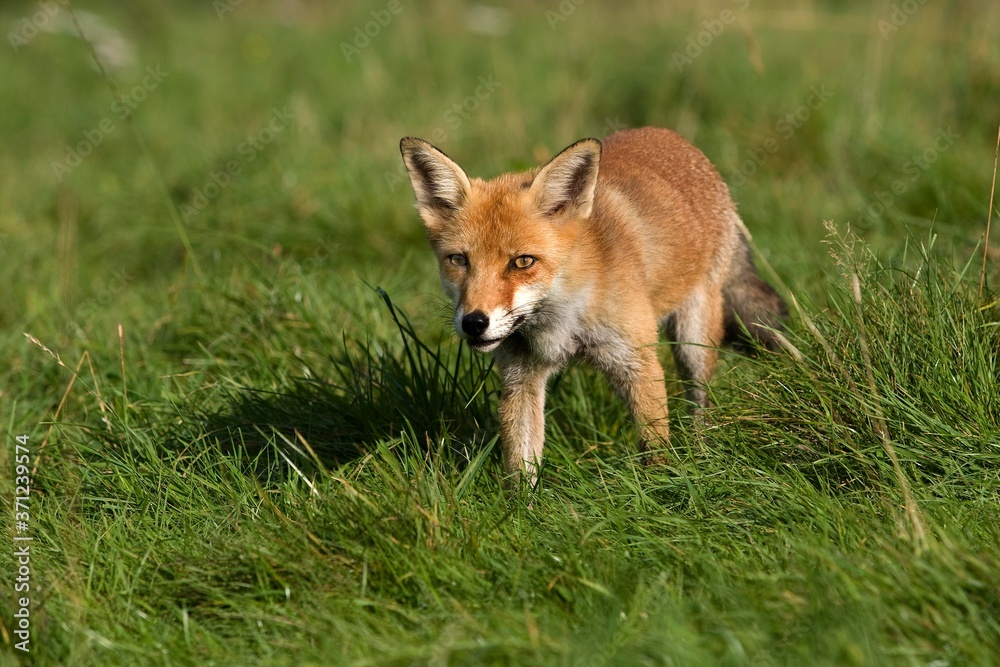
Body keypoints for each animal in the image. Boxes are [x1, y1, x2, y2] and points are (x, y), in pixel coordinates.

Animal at [400, 127, 788, 484]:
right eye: (459, 260)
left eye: (522, 262)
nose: (474, 322)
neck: (564, 317)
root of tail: (669, 135)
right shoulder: (520, 378)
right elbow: (521, 466)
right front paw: (521, 511)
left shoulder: (637, 362)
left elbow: (655, 448)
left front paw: (663, 489)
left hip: (694, 338)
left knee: (700, 400)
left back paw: (702, 447)